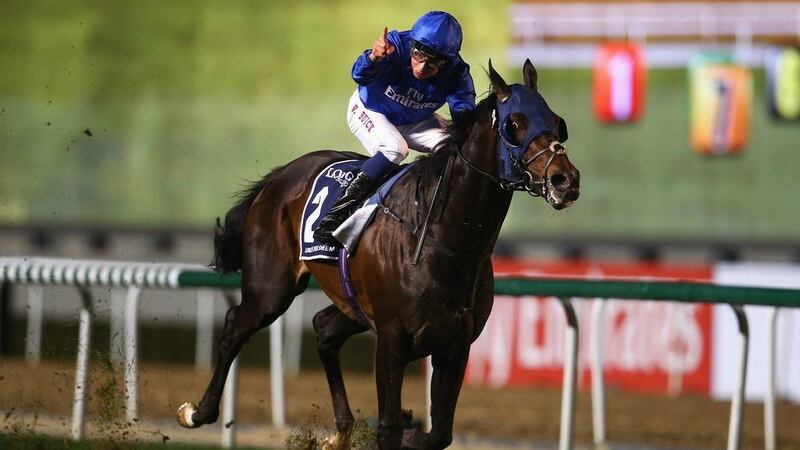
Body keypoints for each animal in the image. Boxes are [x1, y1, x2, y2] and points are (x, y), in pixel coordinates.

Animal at [178, 60, 580, 450]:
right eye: (514, 124)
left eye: (558, 122)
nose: (565, 180)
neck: (442, 237)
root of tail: (280, 176)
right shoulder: (391, 339)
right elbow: (388, 429)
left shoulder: (455, 345)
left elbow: (439, 434)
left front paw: (411, 427)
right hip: (271, 288)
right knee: (237, 323)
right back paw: (198, 412)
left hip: (351, 304)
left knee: (323, 329)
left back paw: (341, 432)